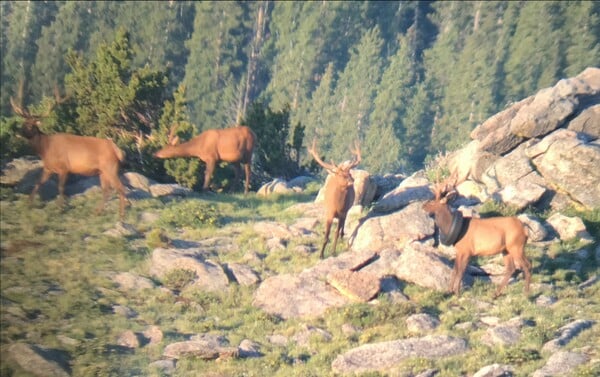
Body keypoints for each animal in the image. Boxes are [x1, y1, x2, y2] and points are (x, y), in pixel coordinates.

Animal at [9, 82, 127, 217]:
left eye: (30, 126)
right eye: (23, 123)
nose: (17, 133)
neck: (45, 149)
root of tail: (117, 150)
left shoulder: (64, 168)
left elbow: (61, 188)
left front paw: (60, 208)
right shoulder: (48, 168)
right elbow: (38, 183)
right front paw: (28, 204)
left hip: (110, 167)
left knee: (120, 188)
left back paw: (121, 215)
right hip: (102, 171)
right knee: (106, 190)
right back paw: (97, 211)